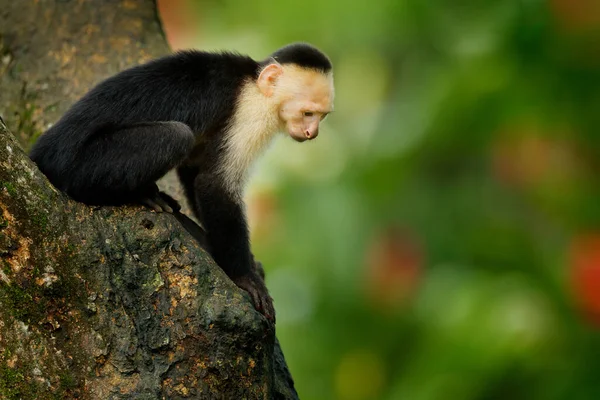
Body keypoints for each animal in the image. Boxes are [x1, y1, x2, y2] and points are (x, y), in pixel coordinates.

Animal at [30, 42, 336, 320]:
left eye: (321, 117)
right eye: (307, 113)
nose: (312, 133)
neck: (256, 85)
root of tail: (43, 150)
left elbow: (195, 170)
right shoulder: (251, 114)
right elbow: (214, 183)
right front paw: (245, 277)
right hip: (79, 163)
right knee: (176, 136)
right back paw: (138, 194)